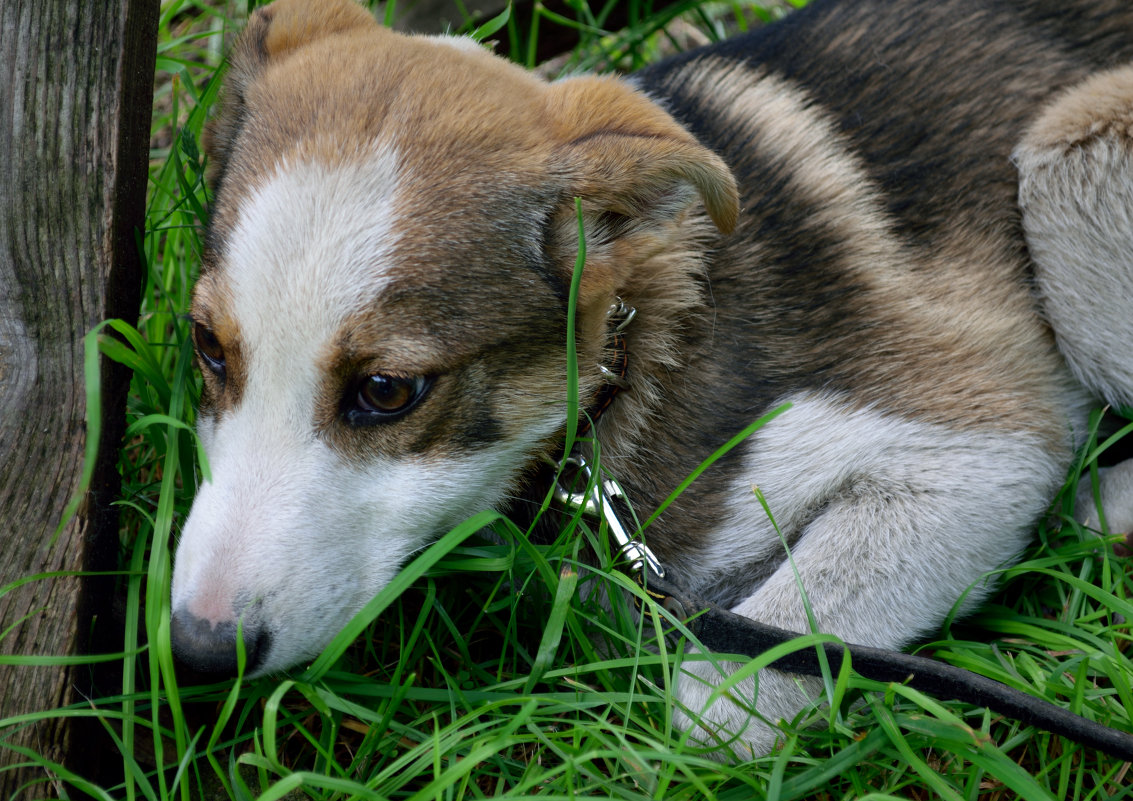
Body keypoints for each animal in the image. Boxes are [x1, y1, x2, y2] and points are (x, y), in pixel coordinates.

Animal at [167, 0, 1133, 756]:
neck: (628, 361)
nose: (198, 652)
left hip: (1069, 156)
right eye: (207, 346)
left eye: (387, 391)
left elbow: (723, 693)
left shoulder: (980, 441)